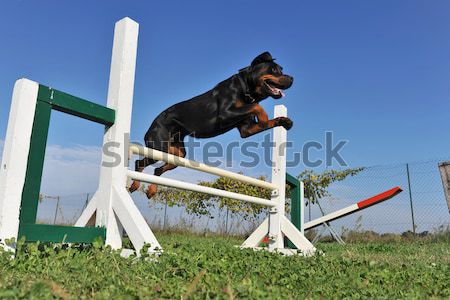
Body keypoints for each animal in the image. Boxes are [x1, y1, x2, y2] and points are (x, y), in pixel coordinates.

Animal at [128, 52, 294, 197]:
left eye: (281, 69)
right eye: (274, 70)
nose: (292, 78)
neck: (245, 88)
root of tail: (151, 127)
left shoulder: (246, 129)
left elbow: (259, 117)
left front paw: (284, 121)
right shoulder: (225, 114)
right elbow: (256, 106)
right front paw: (263, 116)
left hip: (176, 153)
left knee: (157, 171)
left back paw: (151, 190)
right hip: (158, 147)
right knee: (139, 163)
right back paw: (135, 185)